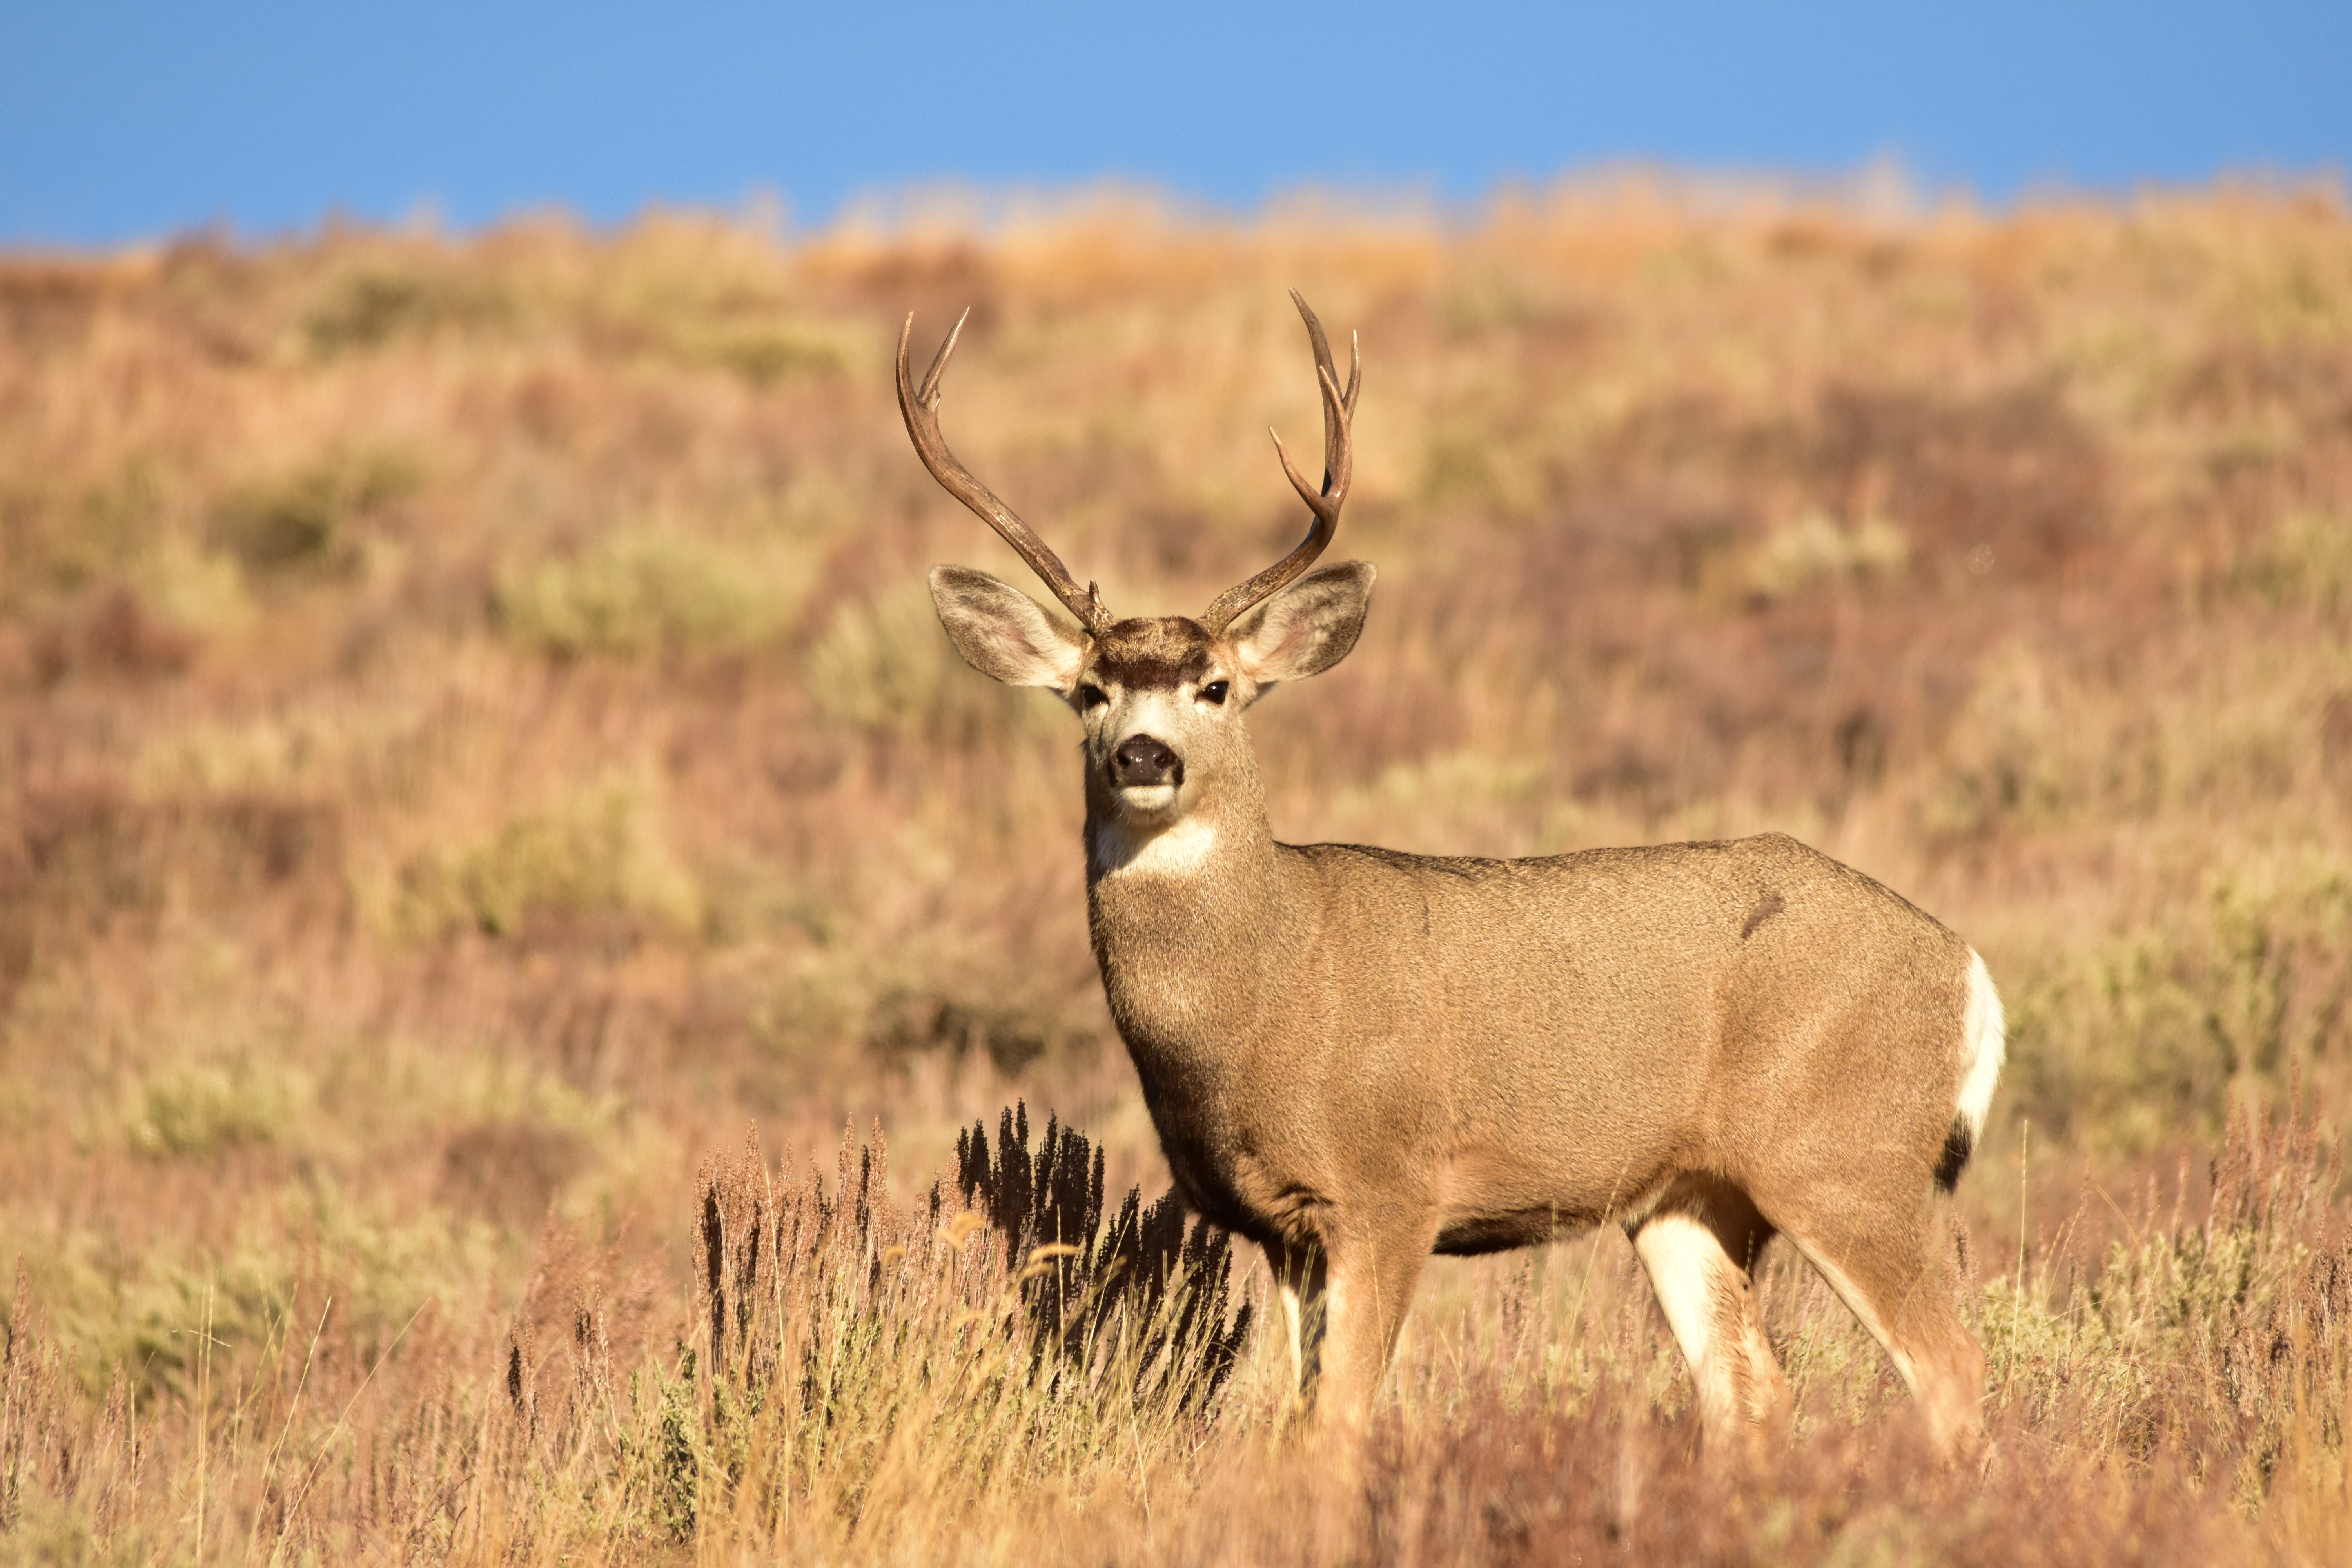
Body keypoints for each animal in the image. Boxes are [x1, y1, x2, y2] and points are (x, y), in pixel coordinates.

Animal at [894, 291, 2004, 1457]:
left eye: (1215, 687)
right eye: (1089, 692)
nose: (1144, 757)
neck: (1265, 995)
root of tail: (1966, 965)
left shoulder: (1391, 1186)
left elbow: (1337, 1425)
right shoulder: (1282, 1223)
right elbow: (1292, 1420)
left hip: (1845, 1156)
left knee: (1950, 1367)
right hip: (1689, 1199)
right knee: (1751, 1391)